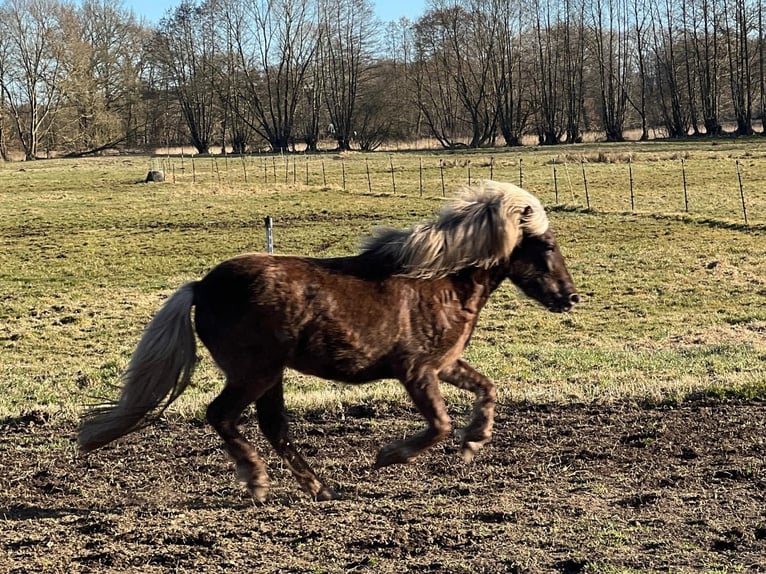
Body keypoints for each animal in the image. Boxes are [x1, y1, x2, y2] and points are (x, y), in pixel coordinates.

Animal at [78, 180, 579, 501]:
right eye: (547, 246)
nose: (570, 297)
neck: (439, 282)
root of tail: (201, 285)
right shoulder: (417, 372)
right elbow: (439, 425)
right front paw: (389, 456)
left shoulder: (445, 365)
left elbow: (487, 391)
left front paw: (475, 442)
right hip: (254, 372)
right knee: (222, 415)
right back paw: (257, 481)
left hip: (270, 375)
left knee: (273, 427)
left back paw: (318, 487)